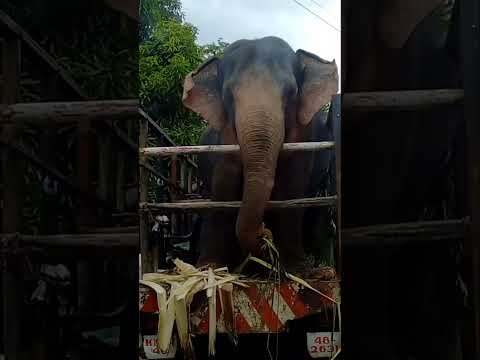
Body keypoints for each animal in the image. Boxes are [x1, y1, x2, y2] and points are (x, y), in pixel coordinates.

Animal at [182, 37, 340, 272]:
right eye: (228, 95)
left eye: (291, 92)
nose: (265, 232)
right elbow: (224, 186)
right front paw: (210, 268)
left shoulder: (304, 137)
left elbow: (292, 189)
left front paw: (295, 269)